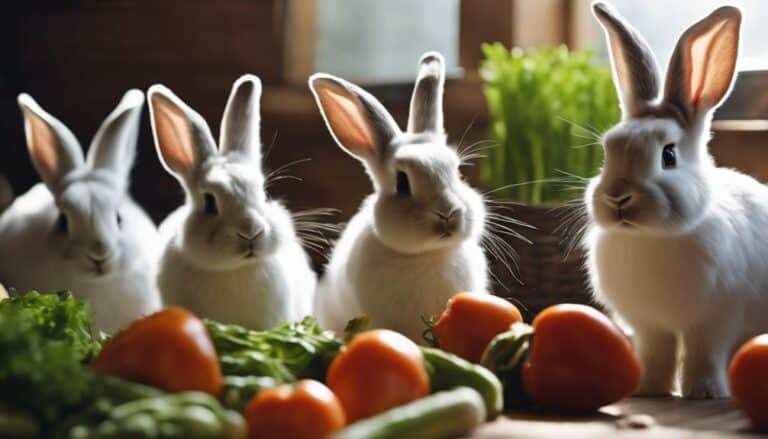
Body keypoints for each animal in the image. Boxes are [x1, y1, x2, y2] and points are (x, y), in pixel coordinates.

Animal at [583, 2, 768, 399]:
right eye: (608, 152)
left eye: (668, 156)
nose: (618, 197)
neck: (653, 237)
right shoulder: (651, 327)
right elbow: (657, 354)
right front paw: (648, 389)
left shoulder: (714, 322)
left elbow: (703, 355)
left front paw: (704, 392)